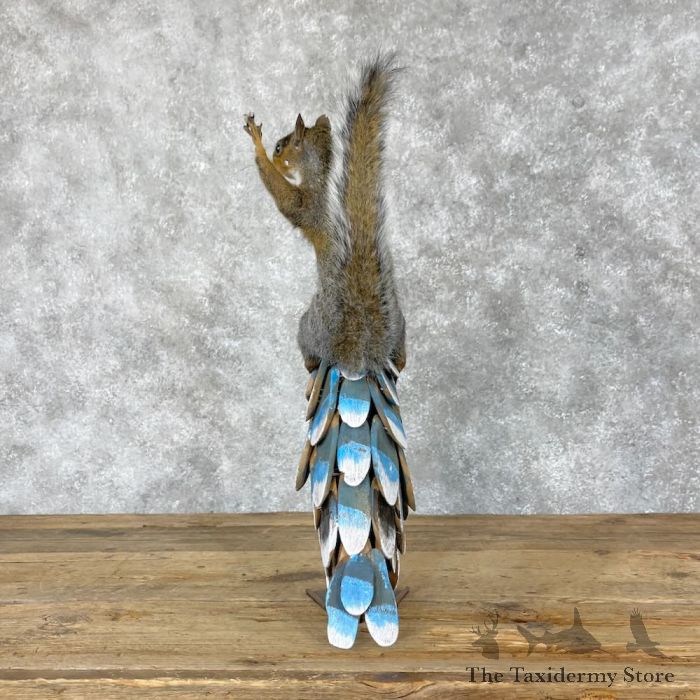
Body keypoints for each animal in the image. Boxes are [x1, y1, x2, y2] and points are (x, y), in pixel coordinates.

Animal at [243, 54, 406, 376]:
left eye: (280, 147)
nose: (275, 153)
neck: (321, 177)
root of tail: (359, 349)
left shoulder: (307, 204)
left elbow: (285, 198)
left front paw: (258, 147)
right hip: (398, 320)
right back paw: (399, 361)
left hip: (310, 324)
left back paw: (311, 363)